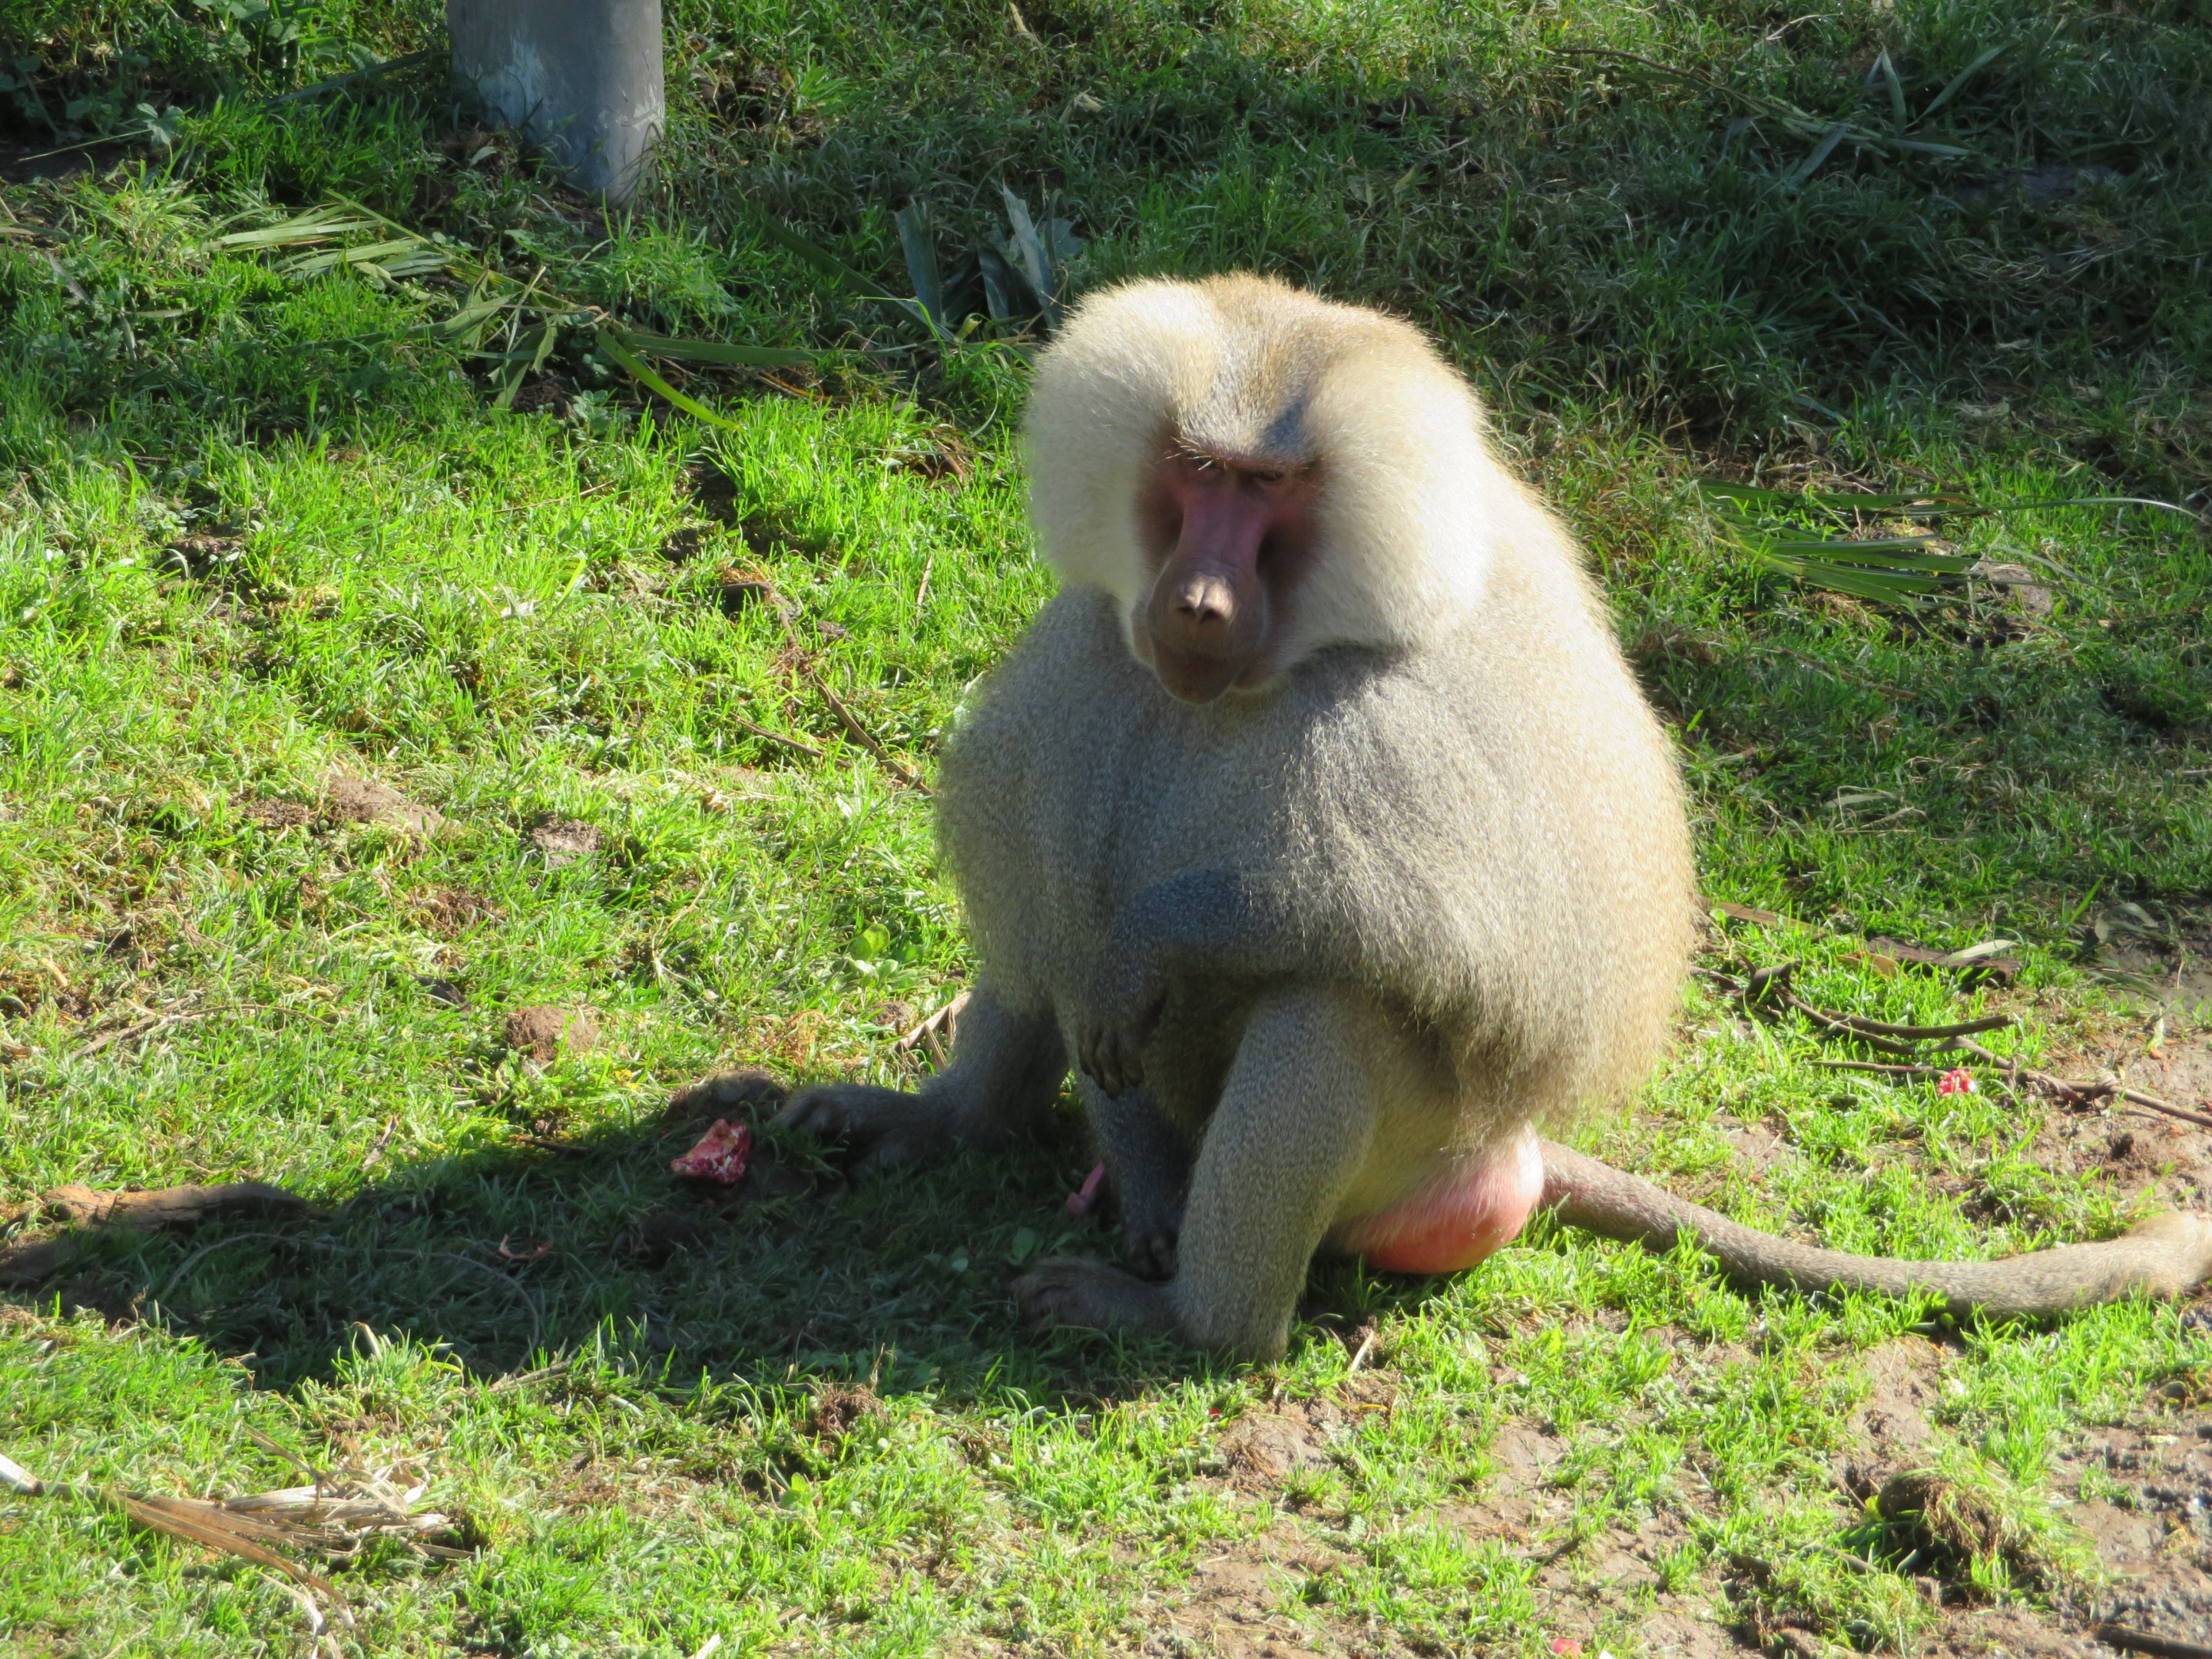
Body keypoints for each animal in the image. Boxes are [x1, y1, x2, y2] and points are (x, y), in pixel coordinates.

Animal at [743, 273, 2212, 1362]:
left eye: (1270, 493)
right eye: (1194, 469)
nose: (1197, 606)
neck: (1280, 663)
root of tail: (1517, 1157)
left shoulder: (1409, 724)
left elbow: (1423, 942)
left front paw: (1156, 952)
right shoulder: (1092, 672)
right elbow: (1053, 928)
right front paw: (1068, 1134)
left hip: (1421, 1152)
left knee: (1330, 1011)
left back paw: (1193, 1322)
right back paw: (959, 1128)